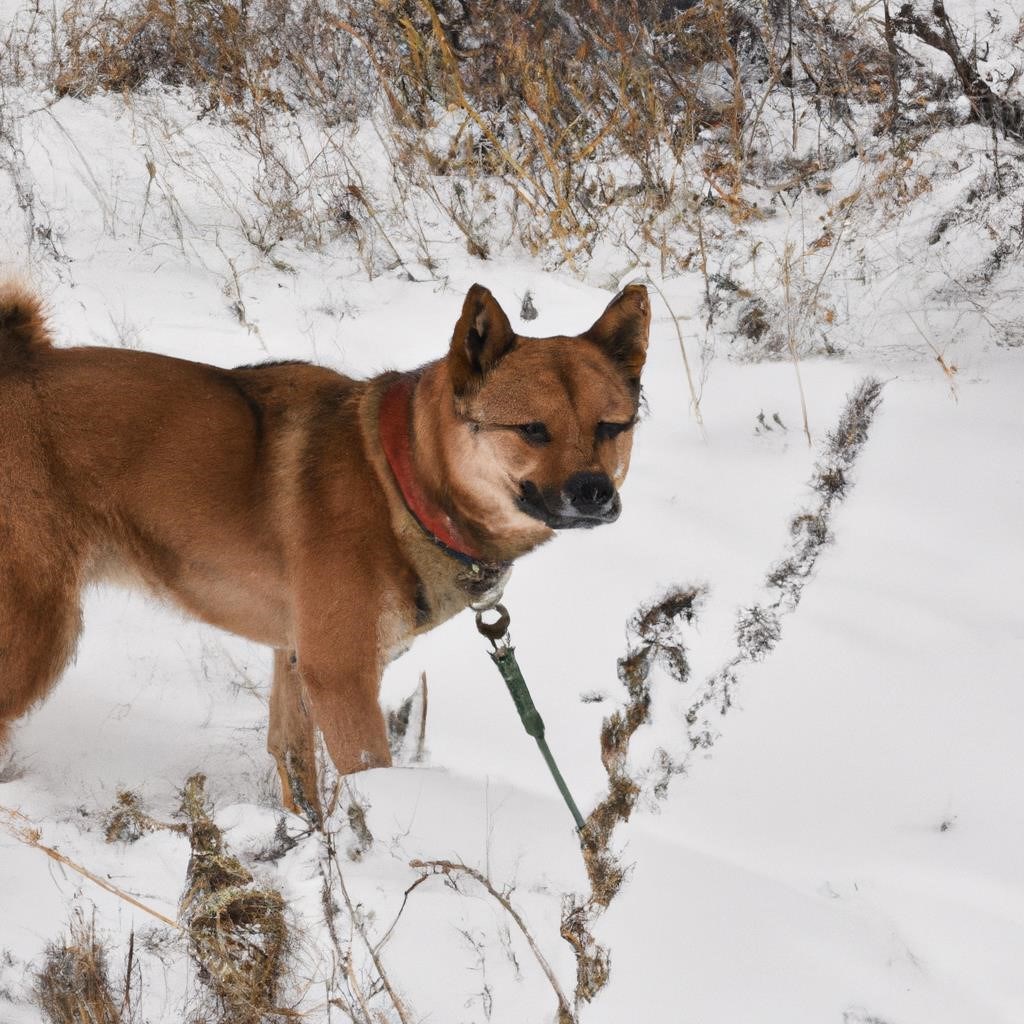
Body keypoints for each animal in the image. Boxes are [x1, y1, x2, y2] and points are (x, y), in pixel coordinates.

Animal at [0, 278, 651, 815]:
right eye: (533, 430)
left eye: (611, 428)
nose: (593, 493)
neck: (401, 480)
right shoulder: (342, 679)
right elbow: (368, 776)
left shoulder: (296, 660)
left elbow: (297, 773)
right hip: (39, 631)